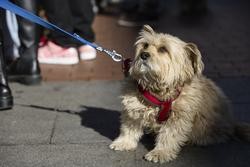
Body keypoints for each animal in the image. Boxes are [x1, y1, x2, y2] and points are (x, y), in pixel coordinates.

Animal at [109, 24, 250, 163]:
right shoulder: (133, 107)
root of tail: (232, 124)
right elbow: (129, 127)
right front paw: (124, 142)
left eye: (163, 49)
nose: (143, 54)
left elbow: (168, 136)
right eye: (145, 45)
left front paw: (160, 152)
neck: (158, 91)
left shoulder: (177, 118)